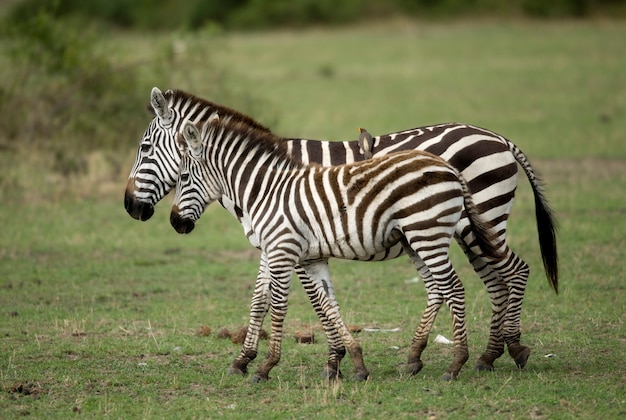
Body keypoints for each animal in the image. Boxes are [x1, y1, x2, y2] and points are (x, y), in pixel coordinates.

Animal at [123, 88, 556, 378]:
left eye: (144, 148)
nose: (130, 207)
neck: (263, 179)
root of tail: (498, 137)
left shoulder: (295, 247)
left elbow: (310, 302)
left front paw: (332, 360)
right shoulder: (277, 245)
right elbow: (263, 297)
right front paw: (247, 359)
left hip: (478, 220)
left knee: (510, 272)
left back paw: (506, 350)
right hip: (460, 230)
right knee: (487, 282)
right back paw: (484, 355)